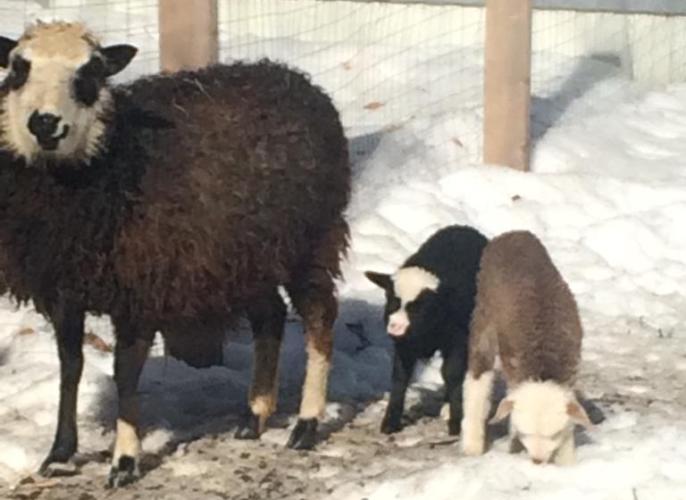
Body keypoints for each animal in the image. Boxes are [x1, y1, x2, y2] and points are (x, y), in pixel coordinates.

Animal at [0, 21, 352, 486]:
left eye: (90, 73)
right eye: (18, 69)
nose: (44, 124)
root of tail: (299, 81)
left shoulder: (139, 289)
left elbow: (125, 373)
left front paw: (124, 460)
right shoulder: (64, 289)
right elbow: (70, 366)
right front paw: (60, 453)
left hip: (311, 239)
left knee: (318, 318)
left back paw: (307, 424)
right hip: (246, 254)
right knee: (270, 317)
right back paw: (254, 416)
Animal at [366, 225, 490, 436]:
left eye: (421, 307)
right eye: (391, 302)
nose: (396, 327)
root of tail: (464, 228)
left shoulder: (459, 339)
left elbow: (452, 373)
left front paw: (456, 422)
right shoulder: (404, 345)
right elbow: (400, 377)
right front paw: (390, 422)